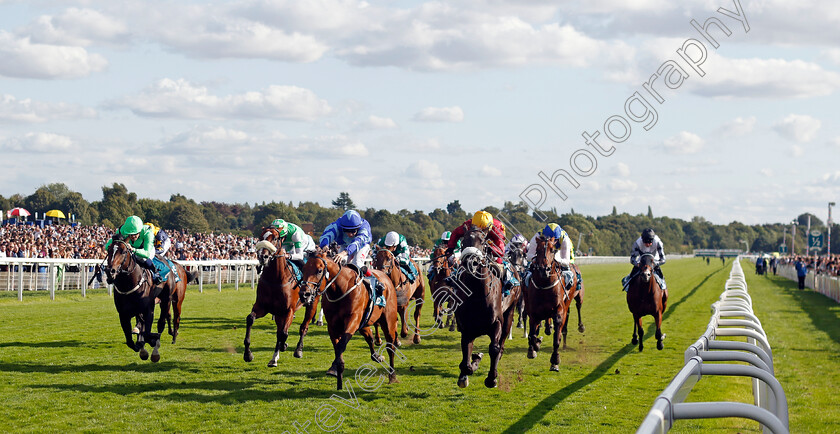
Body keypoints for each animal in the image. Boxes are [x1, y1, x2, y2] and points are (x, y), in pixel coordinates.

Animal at [302, 249, 400, 392]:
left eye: (319, 270)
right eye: (303, 269)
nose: (304, 294)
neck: (341, 289)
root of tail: (386, 277)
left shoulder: (352, 321)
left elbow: (342, 345)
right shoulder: (332, 326)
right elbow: (338, 348)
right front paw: (336, 374)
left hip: (388, 321)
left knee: (390, 346)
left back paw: (392, 375)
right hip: (364, 324)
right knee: (370, 338)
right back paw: (377, 356)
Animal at [452, 229, 520, 388]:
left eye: (483, 241)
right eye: (462, 241)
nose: (471, 263)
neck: (477, 295)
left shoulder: (497, 322)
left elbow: (494, 348)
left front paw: (491, 378)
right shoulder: (466, 327)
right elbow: (466, 351)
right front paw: (467, 369)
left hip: (510, 312)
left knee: (502, 342)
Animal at [524, 236, 584, 372]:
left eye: (552, 250)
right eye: (538, 250)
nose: (543, 269)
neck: (544, 284)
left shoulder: (559, 311)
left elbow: (556, 337)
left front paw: (555, 361)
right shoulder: (533, 312)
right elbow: (532, 335)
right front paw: (533, 348)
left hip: (577, 296)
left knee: (578, 306)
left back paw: (580, 326)